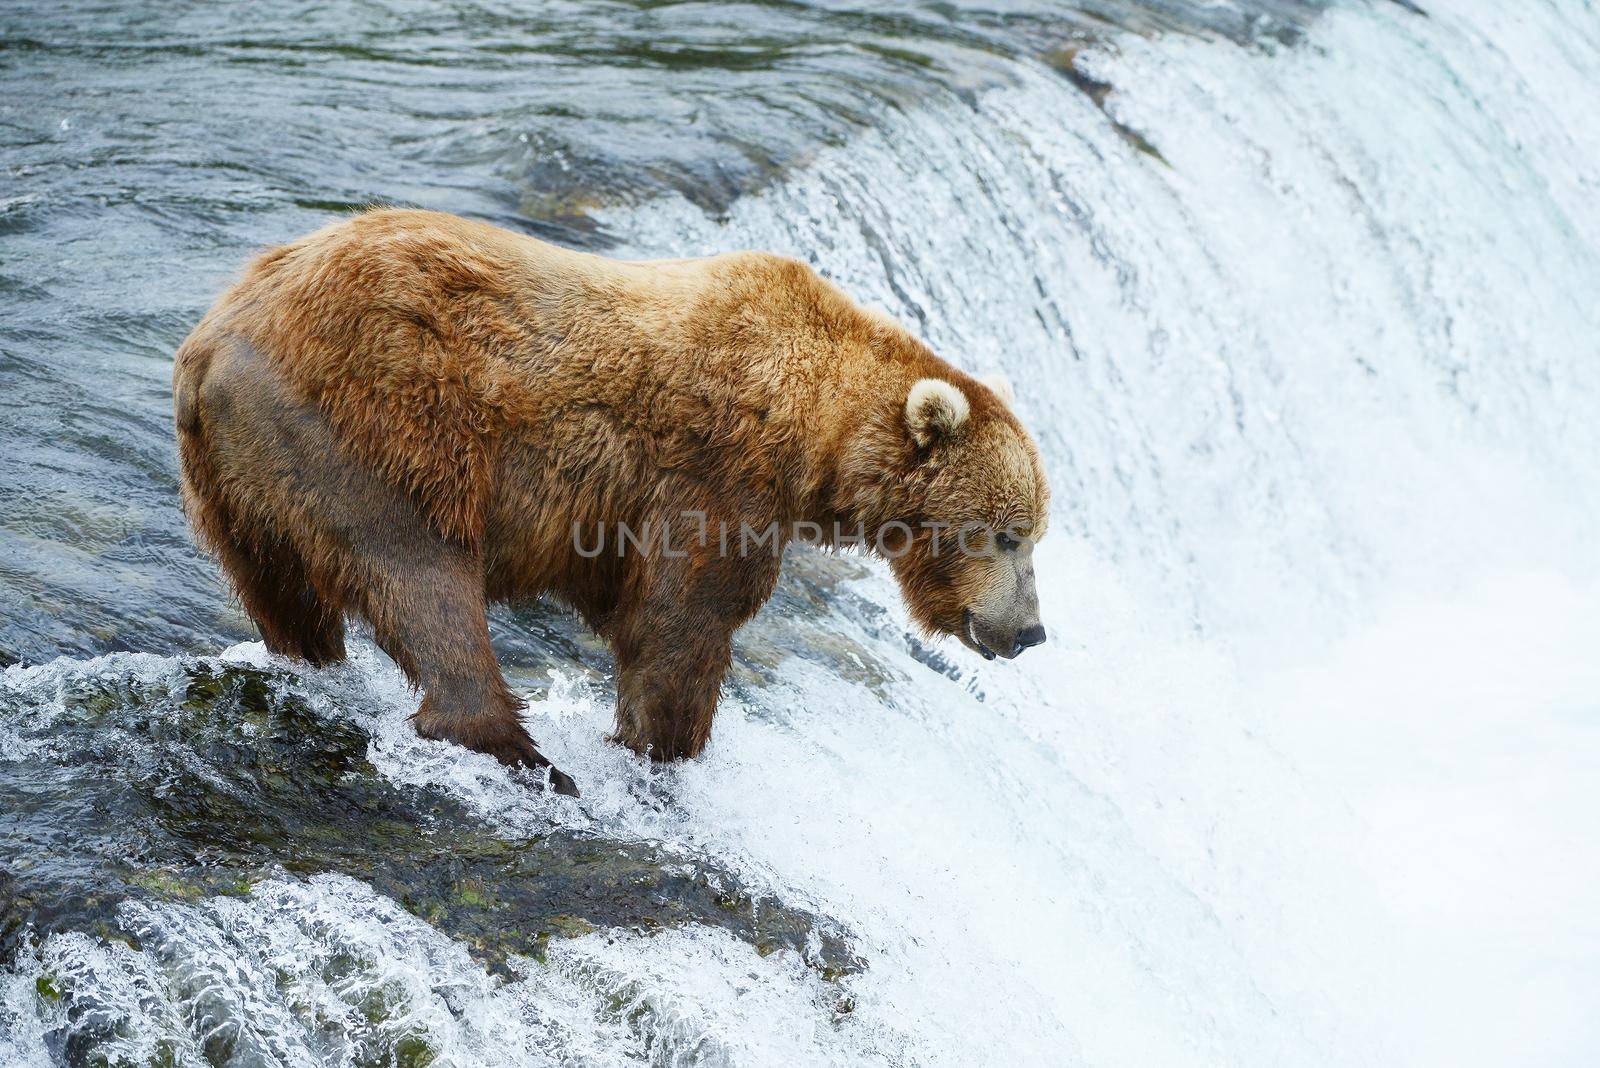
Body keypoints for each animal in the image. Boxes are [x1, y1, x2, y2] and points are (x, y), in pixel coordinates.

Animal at [175, 206, 1049, 793]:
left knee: (285, 592)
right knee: (422, 577)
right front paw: (665, 747)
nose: (1031, 631)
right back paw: (519, 752)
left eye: (1035, 532)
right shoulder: (715, 478)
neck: (817, 434)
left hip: (238, 482)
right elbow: (681, 621)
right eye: (1007, 533)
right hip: (375, 425)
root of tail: (215, 335)